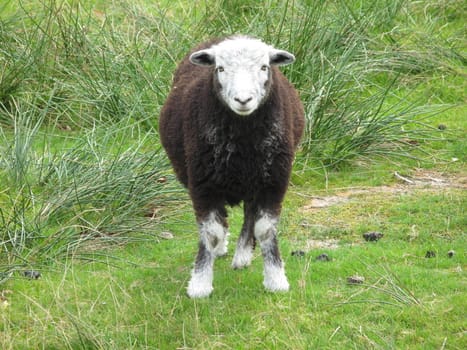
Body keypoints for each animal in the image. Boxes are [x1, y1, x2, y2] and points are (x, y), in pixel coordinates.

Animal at [160, 35, 308, 296]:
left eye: (264, 67)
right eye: (220, 68)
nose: (243, 100)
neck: (243, 140)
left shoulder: (274, 181)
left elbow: (265, 229)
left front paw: (276, 279)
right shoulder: (203, 183)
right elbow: (211, 232)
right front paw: (200, 283)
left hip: (256, 180)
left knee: (249, 215)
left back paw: (242, 256)